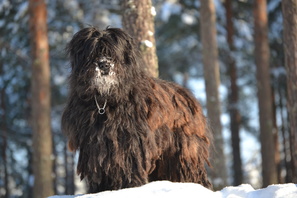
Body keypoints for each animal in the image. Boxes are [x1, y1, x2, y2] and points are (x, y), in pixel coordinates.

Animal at [61, 27, 212, 193]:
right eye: (93, 52)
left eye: (113, 52)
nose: (104, 65)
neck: (105, 100)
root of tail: (187, 95)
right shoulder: (94, 142)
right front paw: (101, 190)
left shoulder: (130, 141)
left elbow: (130, 164)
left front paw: (130, 186)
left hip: (184, 151)